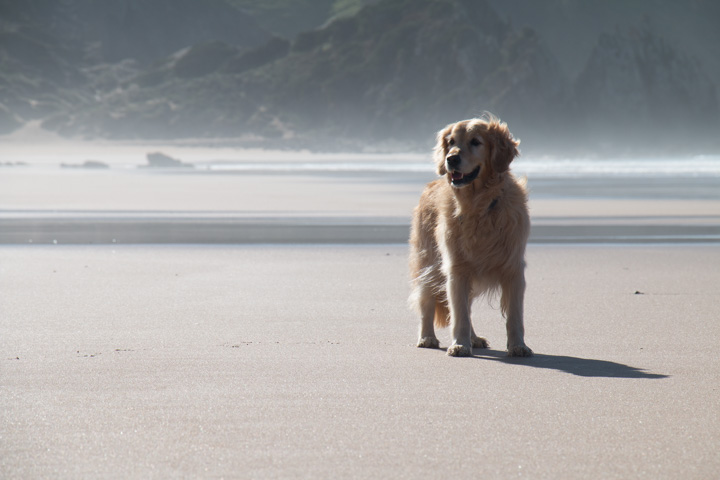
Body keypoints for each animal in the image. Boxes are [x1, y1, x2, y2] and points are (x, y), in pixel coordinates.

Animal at [408, 115, 532, 356]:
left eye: (476, 142)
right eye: (451, 142)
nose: (451, 159)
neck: (479, 207)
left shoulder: (513, 268)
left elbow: (514, 315)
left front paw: (518, 346)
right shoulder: (456, 269)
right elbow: (459, 314)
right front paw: (459, 344)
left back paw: (474, 339)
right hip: (429, 262)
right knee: (427, 300)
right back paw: (427, 337)